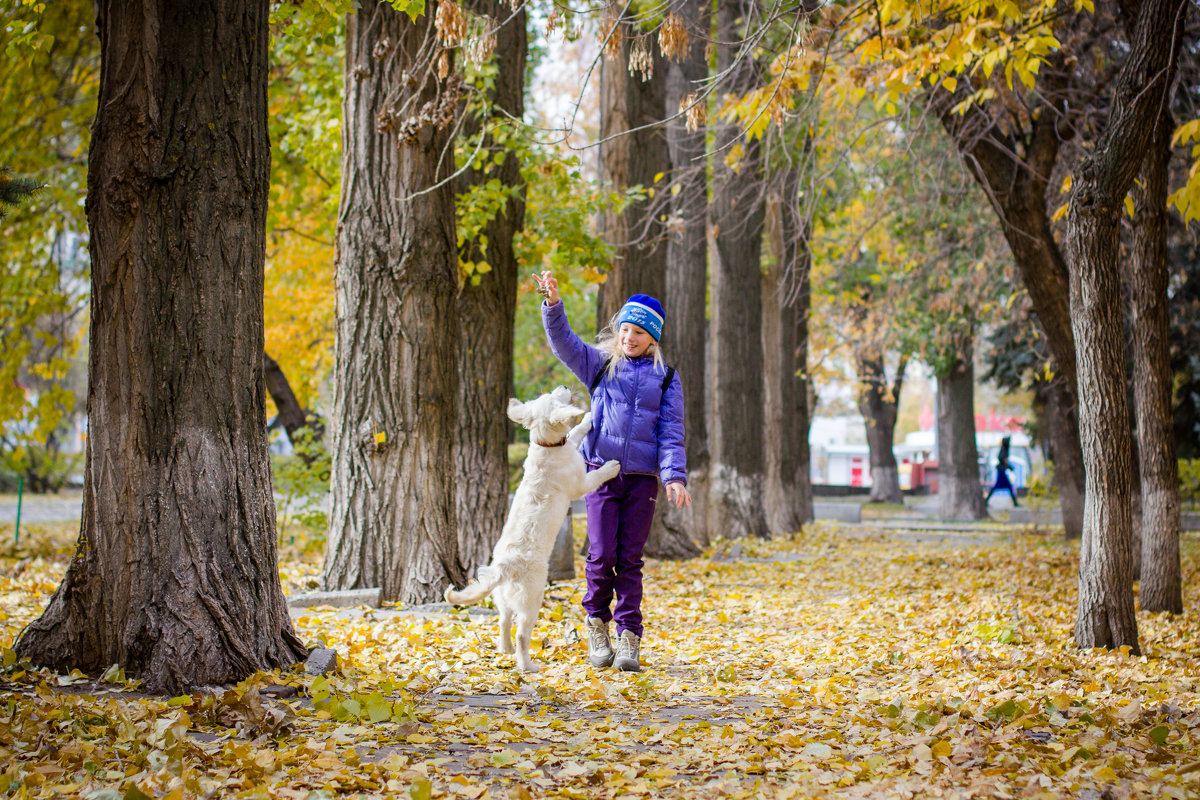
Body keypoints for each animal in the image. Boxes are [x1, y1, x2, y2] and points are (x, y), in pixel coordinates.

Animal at [448, 383, 624, 671]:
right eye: (554, 397)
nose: (564, 385)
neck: (546, 446)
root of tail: (504, 567)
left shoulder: (569, 445)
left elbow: (574, 434)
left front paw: (586, 420)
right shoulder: (580, 484)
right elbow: (595, 475)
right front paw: (610, 467)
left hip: (503, 597)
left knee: (503, 620)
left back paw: (505, 649)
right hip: (532, 598)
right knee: (521, 632)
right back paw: (526, 665)